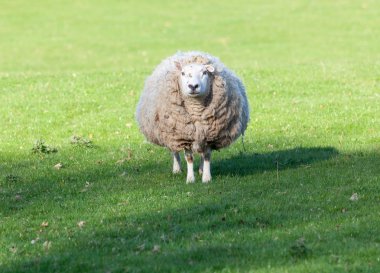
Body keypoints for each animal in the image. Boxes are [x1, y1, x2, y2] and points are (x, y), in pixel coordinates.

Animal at [136, 51, 249, 183]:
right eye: (183, 73)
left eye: (204, 72)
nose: (193, 86)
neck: (196, 110)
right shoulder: (184, 136)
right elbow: (189, 158)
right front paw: (190, 179)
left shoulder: (209, 134)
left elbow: (207, 156)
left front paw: (206, 177)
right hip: (170, 131)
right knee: (174, 150)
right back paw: (177, 169)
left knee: (201, 153)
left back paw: (200, 170)